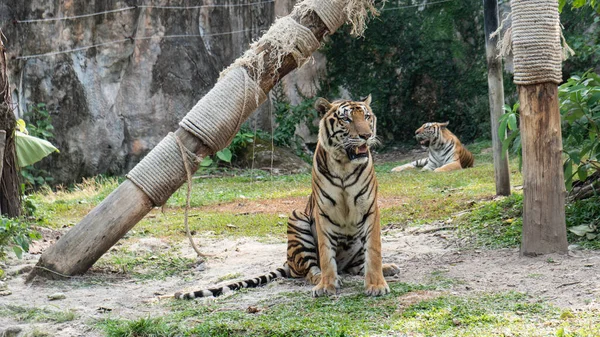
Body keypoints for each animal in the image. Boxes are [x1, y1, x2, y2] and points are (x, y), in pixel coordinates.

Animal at [173, 96, 398, 298]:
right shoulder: (323, 212)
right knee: (308, 270)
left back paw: (388, 267)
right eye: (347, 119)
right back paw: (326, 278)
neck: (344, 165)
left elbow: (374, 251)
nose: (366, 135)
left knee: (357, 265)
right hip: (297, 220)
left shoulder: (369, 209)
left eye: (367, 117)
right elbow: (326, 254)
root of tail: (287, 262)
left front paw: (376, 285)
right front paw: (327, 285)